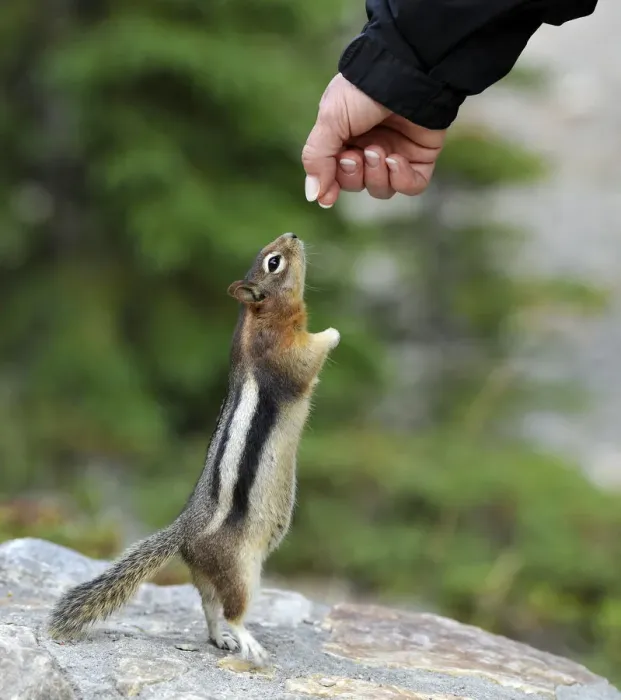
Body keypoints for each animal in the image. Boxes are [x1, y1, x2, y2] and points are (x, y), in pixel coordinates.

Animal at [48, 232, 340, 664]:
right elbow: (310, 355)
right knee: (232, 610)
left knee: (208, 608)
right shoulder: (284, 355)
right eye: (273, 262)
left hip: (206, 576)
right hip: (241, 572)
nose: (292, 235)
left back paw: (221, 639)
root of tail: (185, 530)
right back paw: (247, 641)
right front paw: (334, 332)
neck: (256, 319)